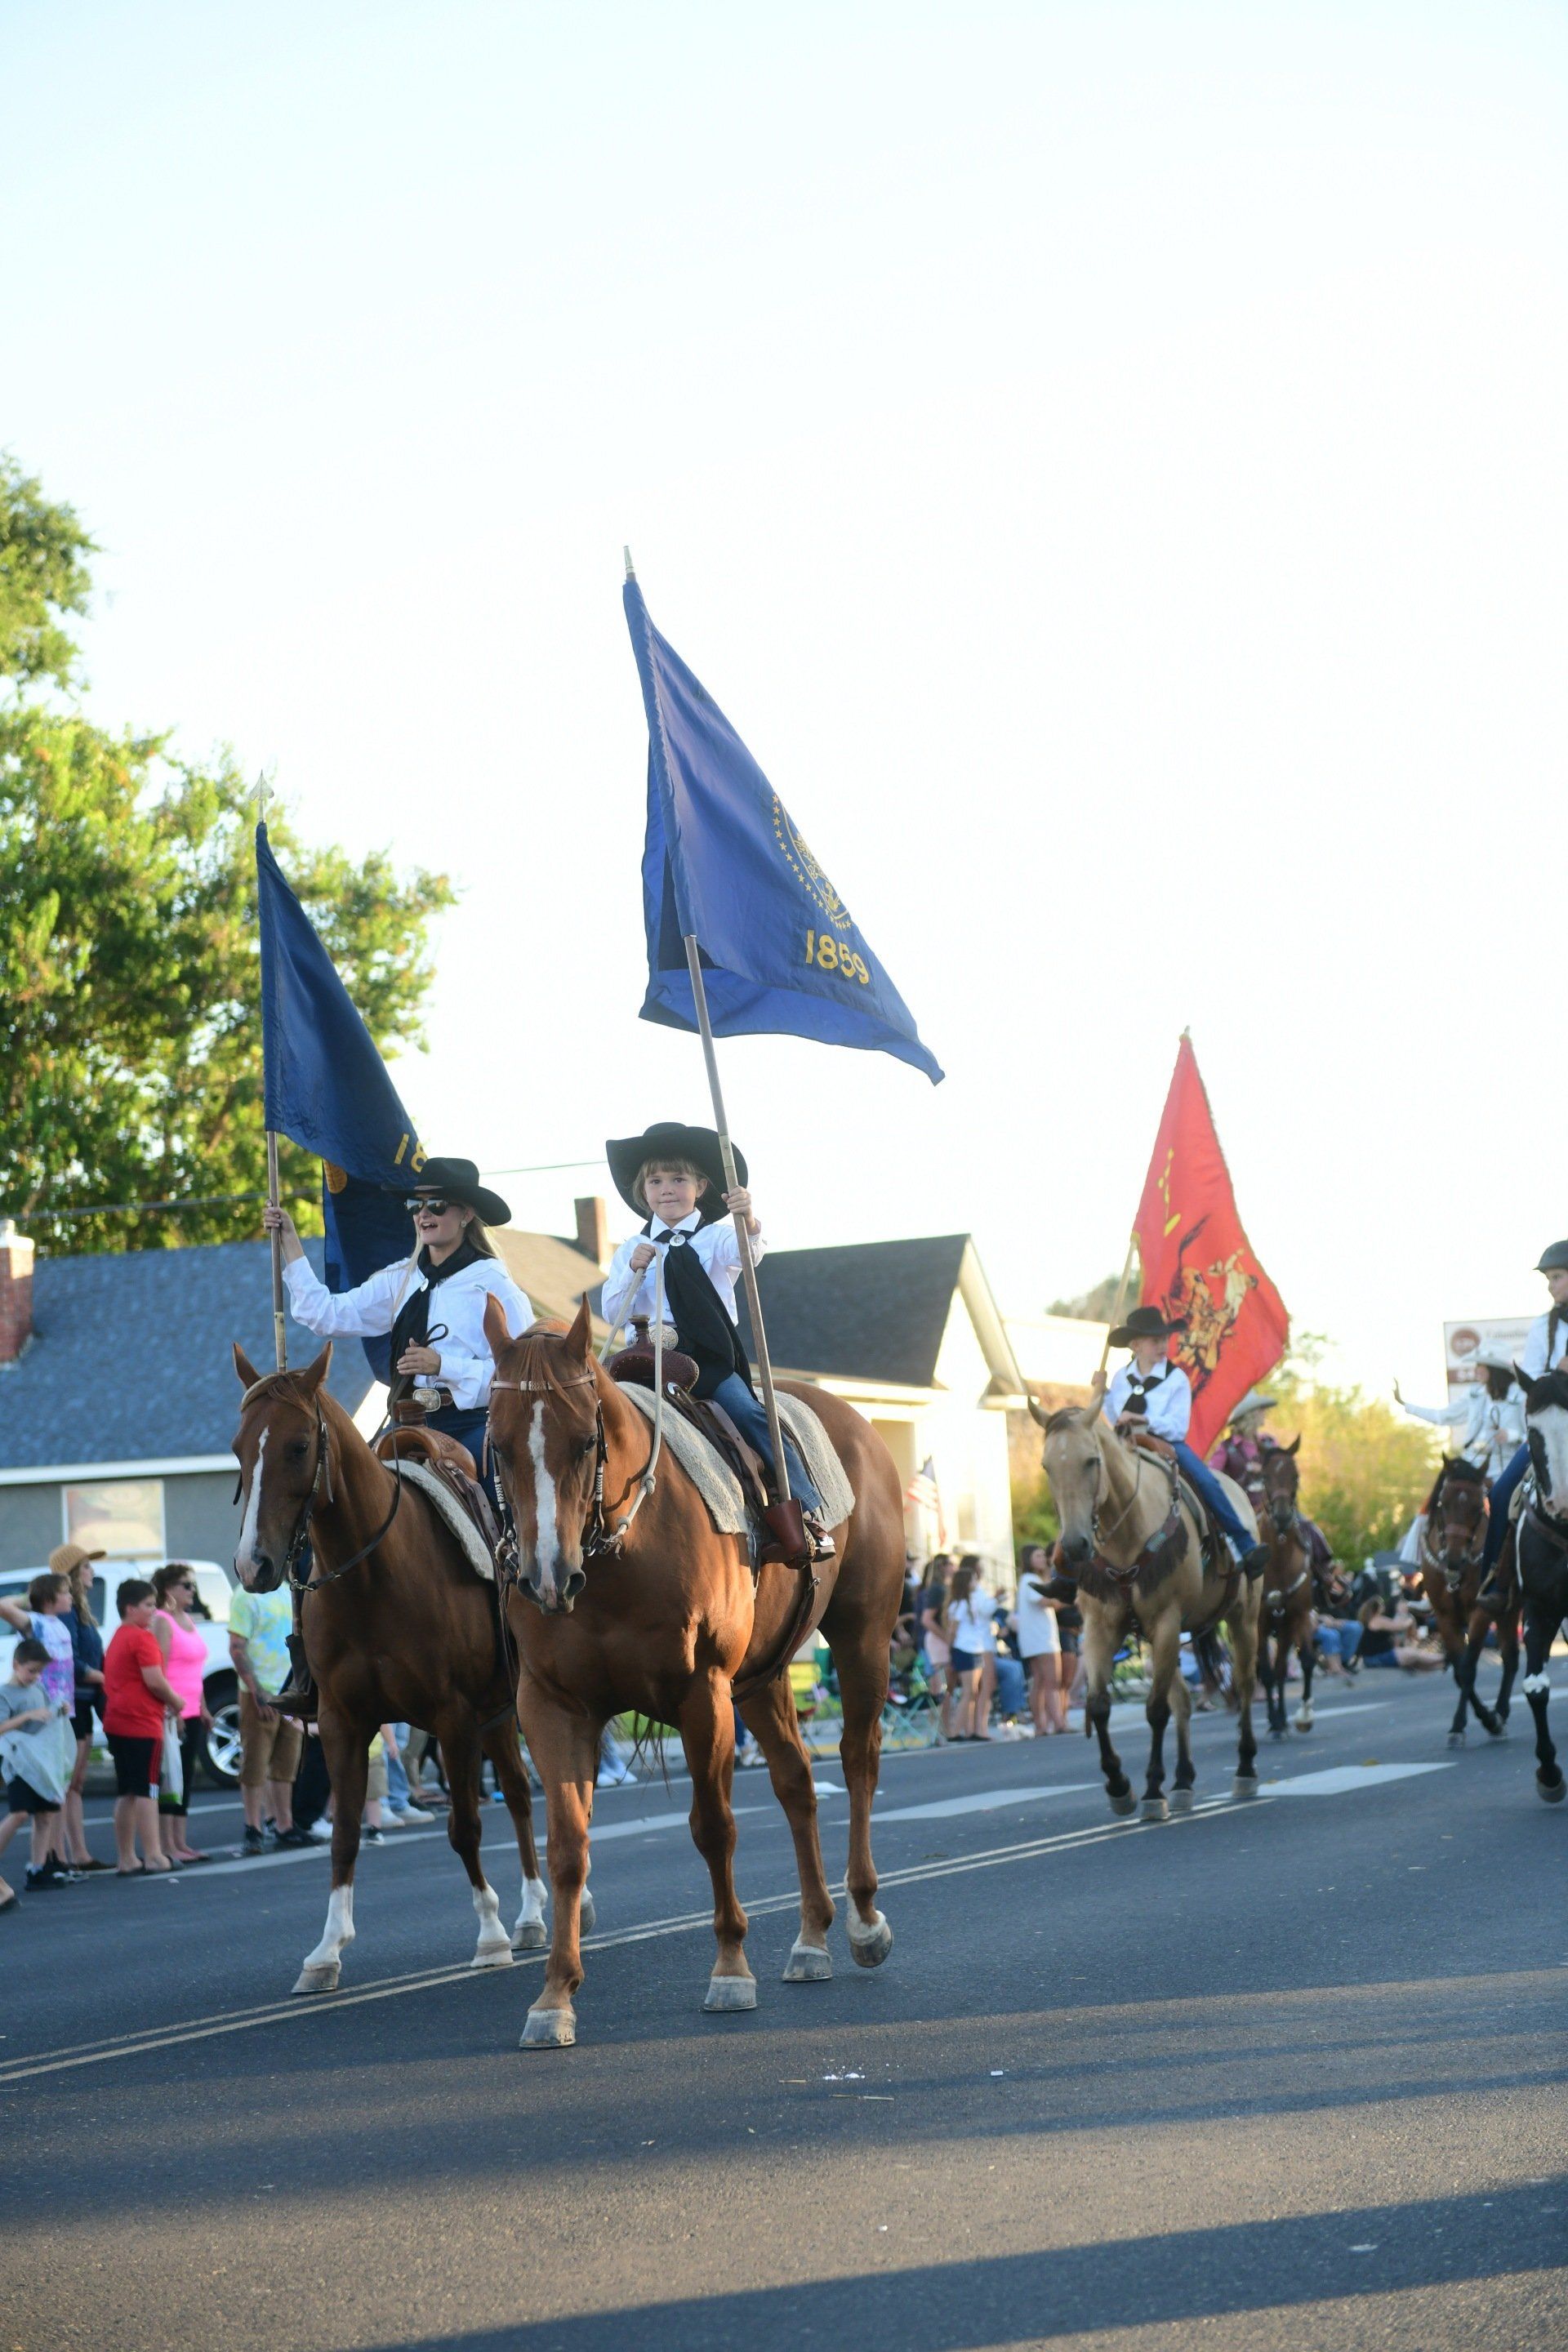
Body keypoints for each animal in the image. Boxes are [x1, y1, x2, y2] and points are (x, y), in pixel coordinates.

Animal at [230, 1354, 550, 1994]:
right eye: (237, 1449)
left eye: (299, 1446)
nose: (253, 1566)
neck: (374, 1578)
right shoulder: (342, 1723)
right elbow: (346, 1834)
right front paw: (326, 1950)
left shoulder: (453, 1719)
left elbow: (464, 1827)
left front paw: (490, 1934)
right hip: (497, 1717)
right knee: (520, 1795)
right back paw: (531, 1916)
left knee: (533, 1793)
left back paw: (538, 1913)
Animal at [482, 1298, 907, 2051]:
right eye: (499, 1447)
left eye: (583, 1443)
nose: (546, 1578)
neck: (617, 1558)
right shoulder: (552, 1706)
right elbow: (567, 1849)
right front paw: (554, 1996)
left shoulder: (701, 1693)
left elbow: (714, 1826)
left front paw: (731, 1969)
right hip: (764, 1676)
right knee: (797, 1784)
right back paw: (811, 1937)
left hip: (862, 1641)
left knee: (858, 1762)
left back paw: (862, 1921)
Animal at [1029, 1401, 1259, 1806]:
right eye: (1047, 1467)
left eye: (1091, 1461)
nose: (1073, 1546)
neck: (1125, 1533)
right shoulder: (1100, 1628)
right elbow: (1099, 1705)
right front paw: (1119, 1785)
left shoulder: (1166, 1621)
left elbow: (1155, 1710)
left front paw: (1151, 1789)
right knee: (1184, 1700)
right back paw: (1183, 1780)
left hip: (1243, 1617)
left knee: (1245, 1684)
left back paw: (1245, 1768)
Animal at [1410, 1449, 1523, 1749]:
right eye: (1443, 1503)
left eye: (1478, 1507)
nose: (1454, 1558)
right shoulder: (1445, 1617)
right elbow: (1460, 1672)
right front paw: (1464, 1724)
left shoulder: (1479, 1612)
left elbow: (1469, 1667)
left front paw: (1484, 1721)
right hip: (1508, 1611)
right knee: (1510, 1657)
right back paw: (1501, 1713)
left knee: (1511, 1657)